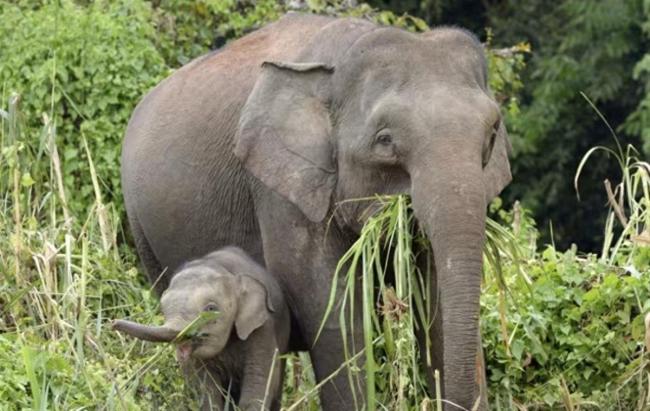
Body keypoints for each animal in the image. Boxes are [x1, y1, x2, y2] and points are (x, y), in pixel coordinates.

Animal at [113, 247, 290, 411]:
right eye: (162, 308)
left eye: (211, 308)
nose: (113, 323)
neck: (224, 269)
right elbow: (206, 389)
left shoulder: (262, 329)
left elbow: (258, 380)